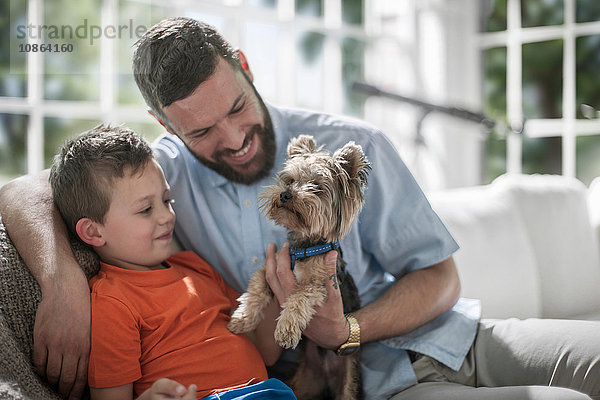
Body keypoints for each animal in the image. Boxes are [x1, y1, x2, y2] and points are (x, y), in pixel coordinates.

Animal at [229, 135, 370, 400]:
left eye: (316, 186)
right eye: (290, 180)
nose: (285, 195)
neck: (305, 246)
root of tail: (326, 375)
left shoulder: (319, 283)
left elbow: (298, 298)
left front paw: (285, 330)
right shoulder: (271, 267)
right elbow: (256, 289)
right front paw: (242, 318)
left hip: (349, 382)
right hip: (303, 383)